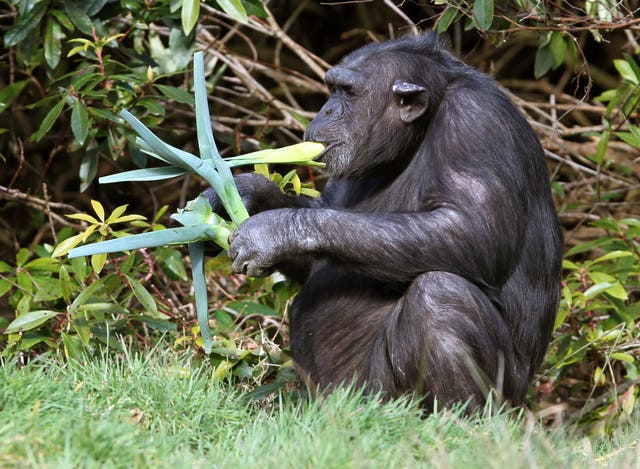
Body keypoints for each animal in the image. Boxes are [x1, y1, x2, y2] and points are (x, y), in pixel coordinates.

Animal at [208, 32, 564, 410]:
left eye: (348, 93)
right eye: (332, 89)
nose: (326, 109)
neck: (419, 134)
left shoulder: (477, 121)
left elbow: (472, 231)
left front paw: (271, 231)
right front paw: (244, 193)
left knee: (441, 296)